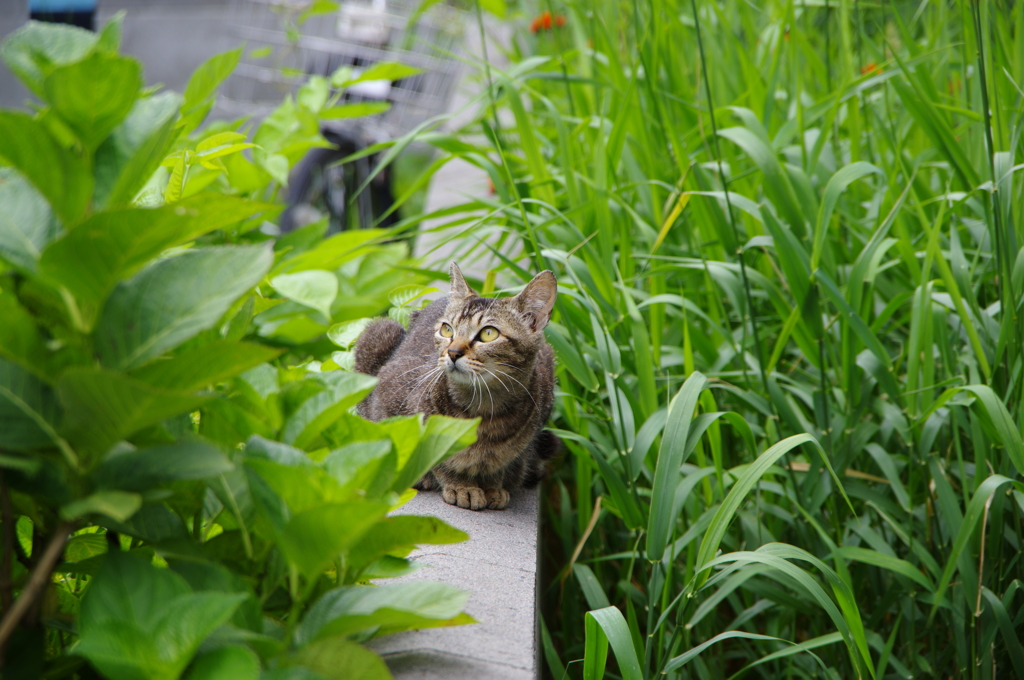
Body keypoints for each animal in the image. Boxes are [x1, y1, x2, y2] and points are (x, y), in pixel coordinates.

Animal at [354, 262, 561, 507]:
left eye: (488, 333)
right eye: (447, 330)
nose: (453, 352)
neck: (484, 408)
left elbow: (499, 463)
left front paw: (493, 486)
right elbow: (435, 455)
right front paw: (461, 486)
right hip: (378, 332)